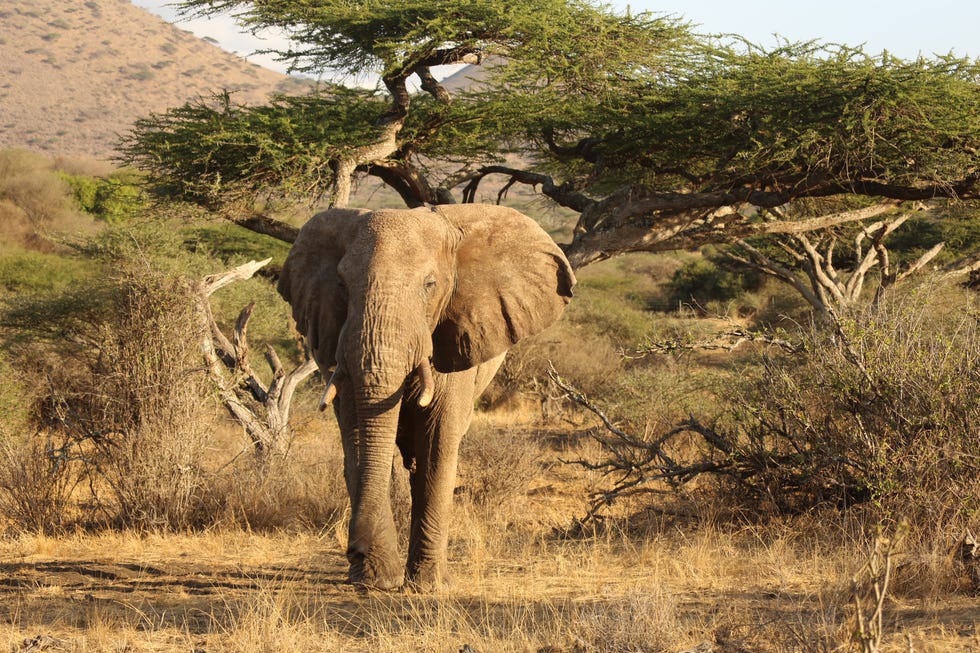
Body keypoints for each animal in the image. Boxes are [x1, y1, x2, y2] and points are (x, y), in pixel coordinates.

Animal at [276, 201, 576, 588]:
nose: (354, 549)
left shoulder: (457, 333)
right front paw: (376, 579)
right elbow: (357, 436)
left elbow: (438, 441)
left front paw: (427, 585)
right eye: (342, 285)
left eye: (429, 285)